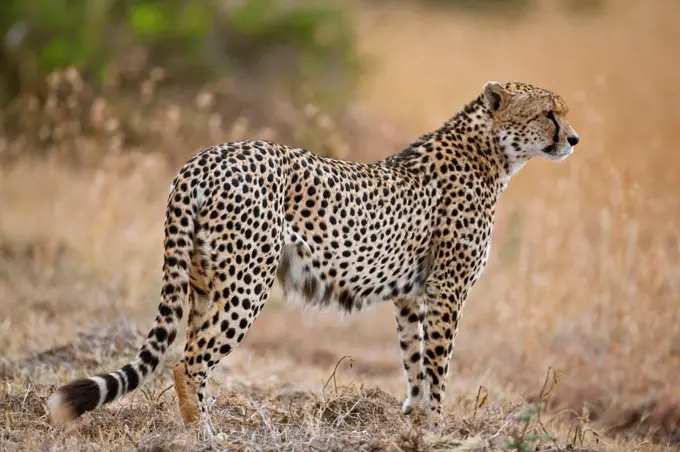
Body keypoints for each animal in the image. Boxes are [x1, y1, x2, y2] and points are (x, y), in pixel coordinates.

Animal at [46, 81, 580, 434]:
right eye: (549, 114)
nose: (573, 139)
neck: (490, 152)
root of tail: (204, 158)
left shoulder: (411, 295)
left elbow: (413, 359)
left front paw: (412, 419)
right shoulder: (447, 290)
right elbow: (438, 363)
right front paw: (436, 426)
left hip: (202, 281)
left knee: (188, 349)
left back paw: (197, 424)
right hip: (247, 283)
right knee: (188, 362)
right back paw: (203, 435)